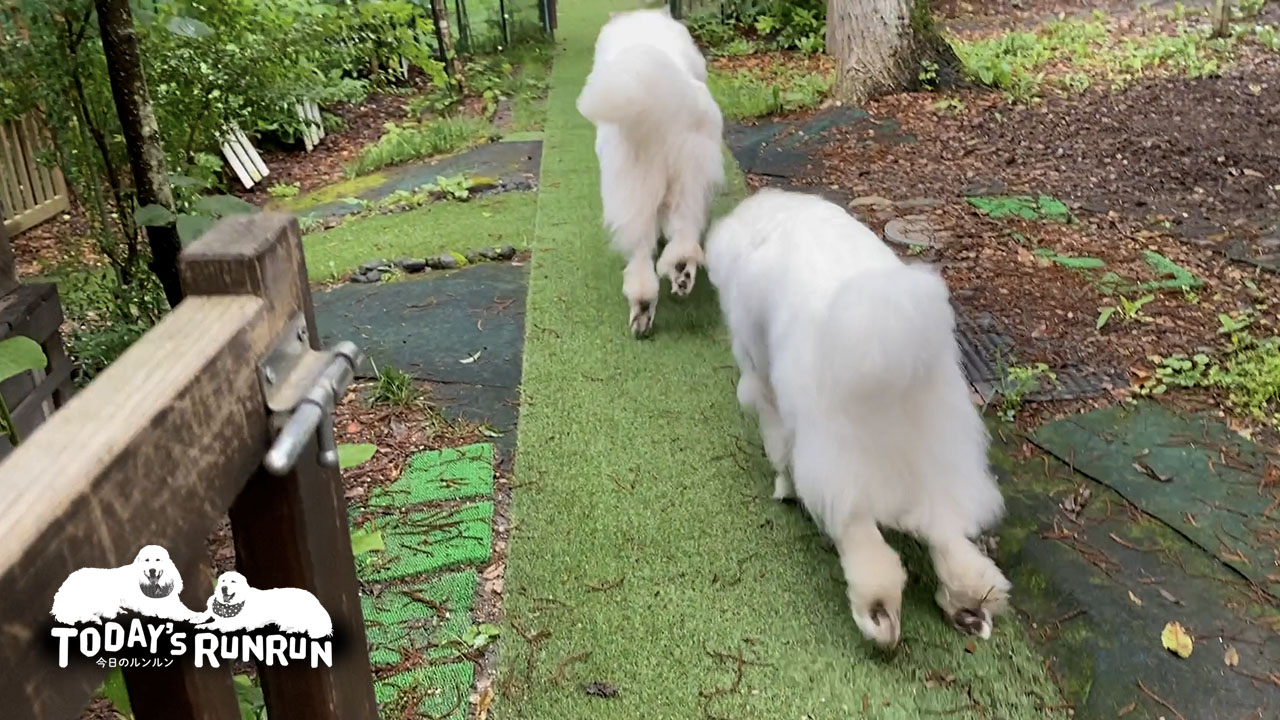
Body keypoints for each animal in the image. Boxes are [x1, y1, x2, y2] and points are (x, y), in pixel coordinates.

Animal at [195, 571, 333, 639]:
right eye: (223, 581)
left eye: (233, 581)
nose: (223, 588)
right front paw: (199, 621)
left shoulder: (236, 622)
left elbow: (216, 624)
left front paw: (205, 626)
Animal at [577, 7, 725, 337]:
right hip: (687, 180)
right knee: (684, 234)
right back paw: (680, 275)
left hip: (632, 190)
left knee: (641, 256)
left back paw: (643, 307)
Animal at [705, 189, 1011, 648]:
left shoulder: (764, 388)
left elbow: (779, 450)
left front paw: (783, 490)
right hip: (942, 449)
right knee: (944, 530)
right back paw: (968, 604)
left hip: (834, 457)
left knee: (862, 540)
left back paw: (879, 614)